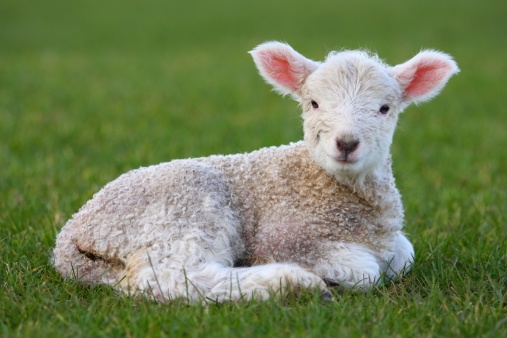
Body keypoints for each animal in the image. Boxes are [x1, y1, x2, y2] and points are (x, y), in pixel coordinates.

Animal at [51, 41, 460, 302]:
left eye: (385, 108)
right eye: (313, 103)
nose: (346, 143)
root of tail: (70, 236)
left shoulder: (390, 241)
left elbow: (404, 254)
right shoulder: (284, 239)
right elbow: (364, 270)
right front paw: (330, 276)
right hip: (186, 208)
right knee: (168, 277)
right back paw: (291, 283)